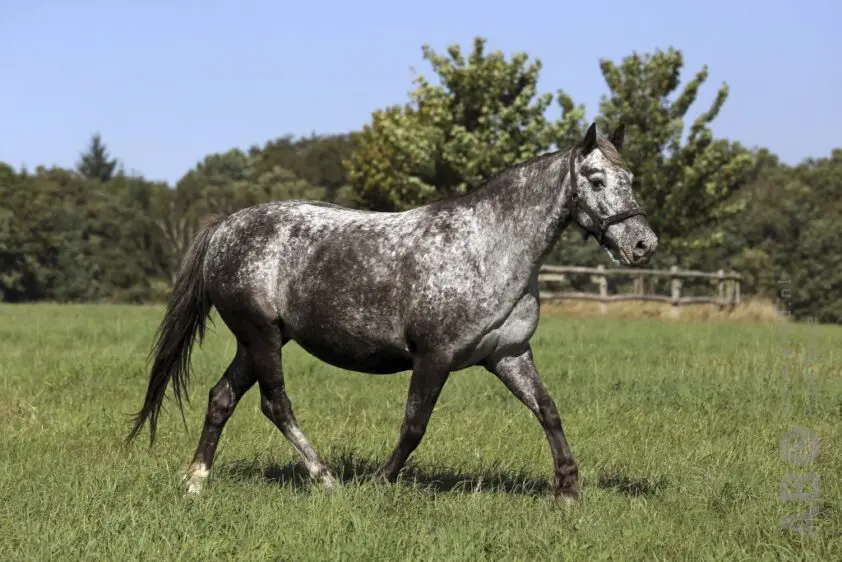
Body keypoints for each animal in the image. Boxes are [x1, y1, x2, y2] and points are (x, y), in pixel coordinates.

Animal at [127, 122, 658, 503]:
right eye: (596, 180)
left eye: (631, 179)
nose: (643, 244)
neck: (487, 248)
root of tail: (224, 228)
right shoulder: (434, 358)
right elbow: (414, 426)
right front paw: (380, 482)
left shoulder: (509, 354)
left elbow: (548, 411)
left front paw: (568, 490)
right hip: (261, 336)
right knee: (275, 404)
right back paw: (326, 480)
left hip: (258, 340)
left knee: (222, 398)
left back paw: (195, 482)